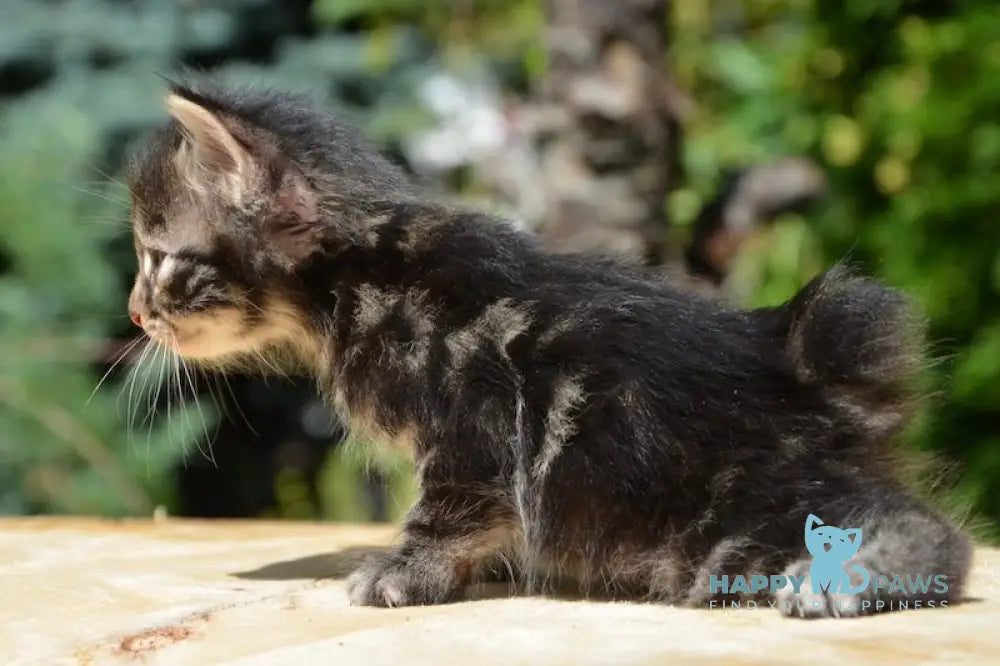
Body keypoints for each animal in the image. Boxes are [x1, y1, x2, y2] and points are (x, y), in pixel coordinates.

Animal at [125, 80, 968, 616]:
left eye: (159, 258)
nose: (135, 313)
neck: (362, 274)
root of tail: (806, 368)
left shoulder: (470, 423)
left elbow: (445, 510)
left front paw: (401, 574)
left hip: (713, 521)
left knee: (935, 534)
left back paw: (854, 578)